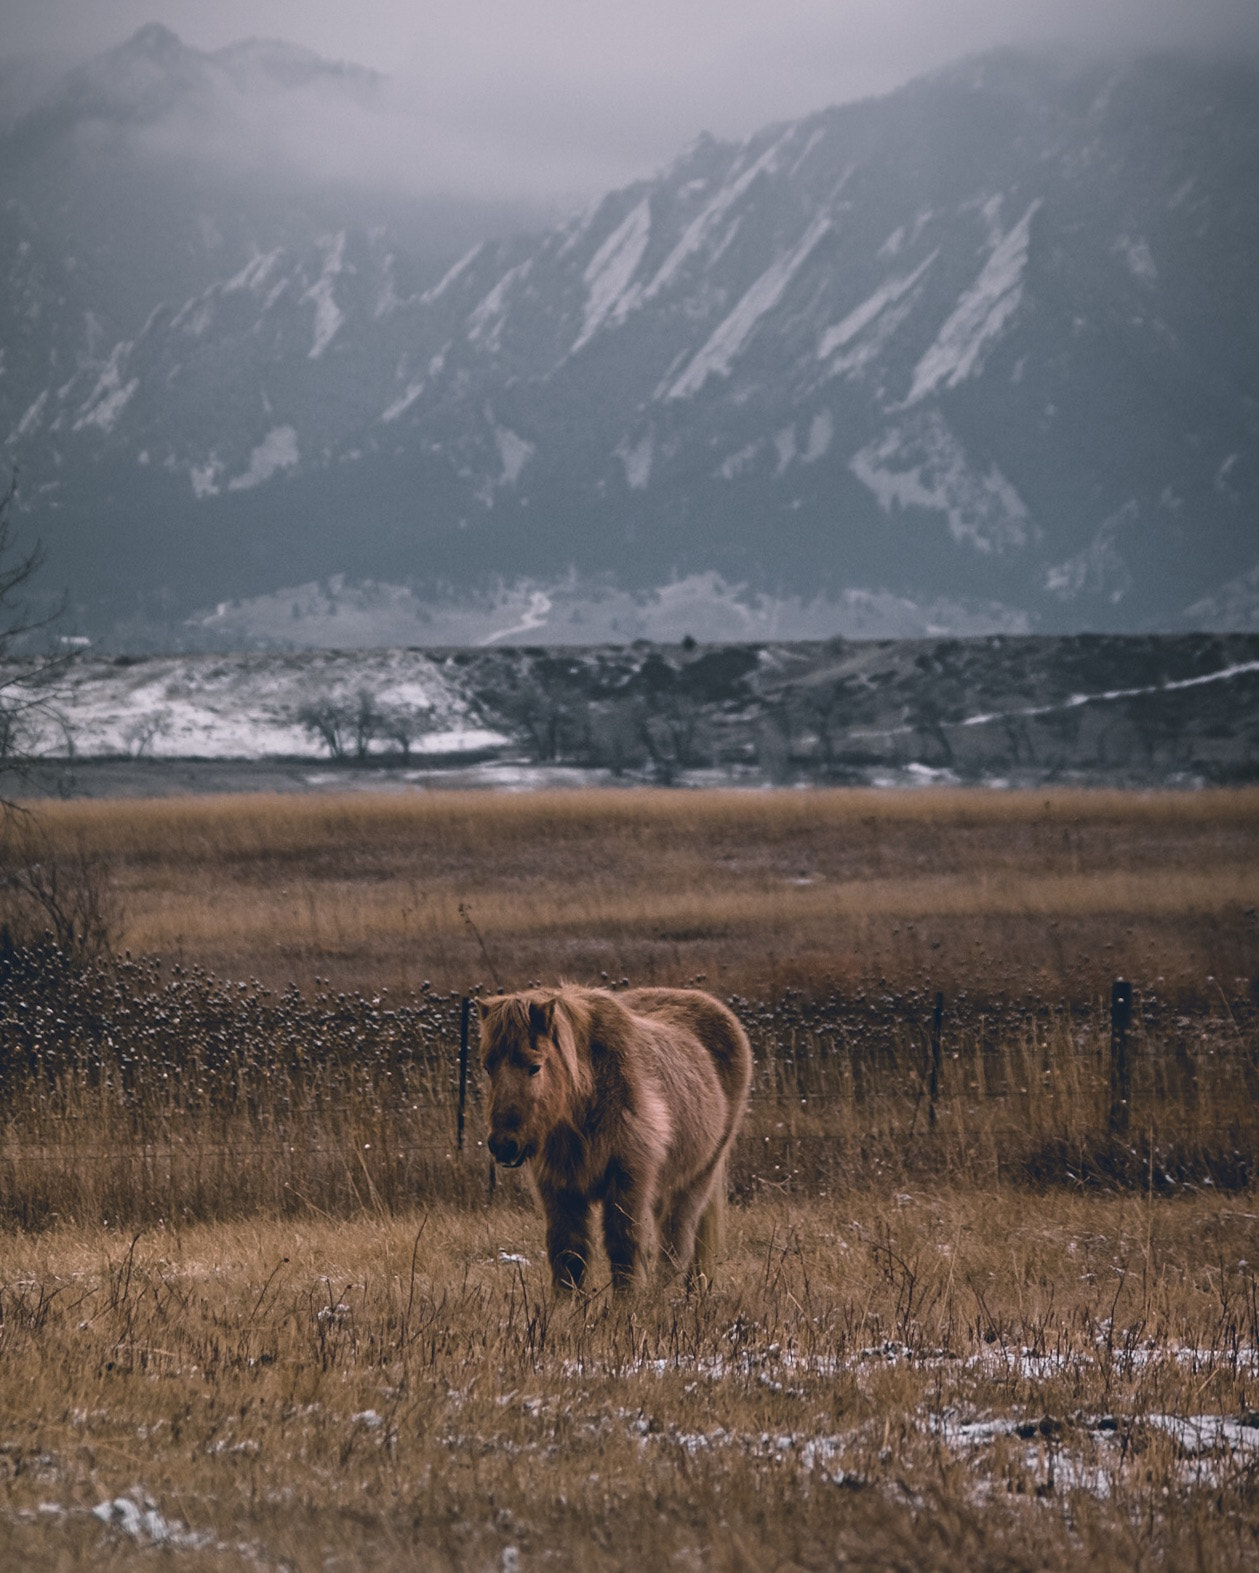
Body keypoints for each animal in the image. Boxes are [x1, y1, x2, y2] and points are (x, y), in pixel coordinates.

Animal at [481, 981, 752, 1289]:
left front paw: (627, 1301)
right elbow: (568, 1253)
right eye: (488, 1067)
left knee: (675, 1245)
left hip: (695, 1179)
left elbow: (624, 1248)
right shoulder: (560, 1190)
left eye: (534, 1066)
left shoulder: (628, 1182)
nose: (503, 1145)